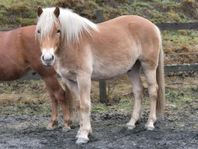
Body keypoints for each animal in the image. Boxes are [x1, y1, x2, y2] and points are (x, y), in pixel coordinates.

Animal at [36, 7, 166, 144]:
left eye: (58, 30)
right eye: (39, 31)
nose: (47, 58)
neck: (73, 43)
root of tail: (153, 26)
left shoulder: (83, 78)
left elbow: (85, 105)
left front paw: (84, 135)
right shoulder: (70, 81)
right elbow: (78, 104)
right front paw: (82, 132)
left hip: (149, 66)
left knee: (153, 91)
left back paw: (150, 123)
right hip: (133, 69)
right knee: (138, 91)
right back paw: (132, 123)